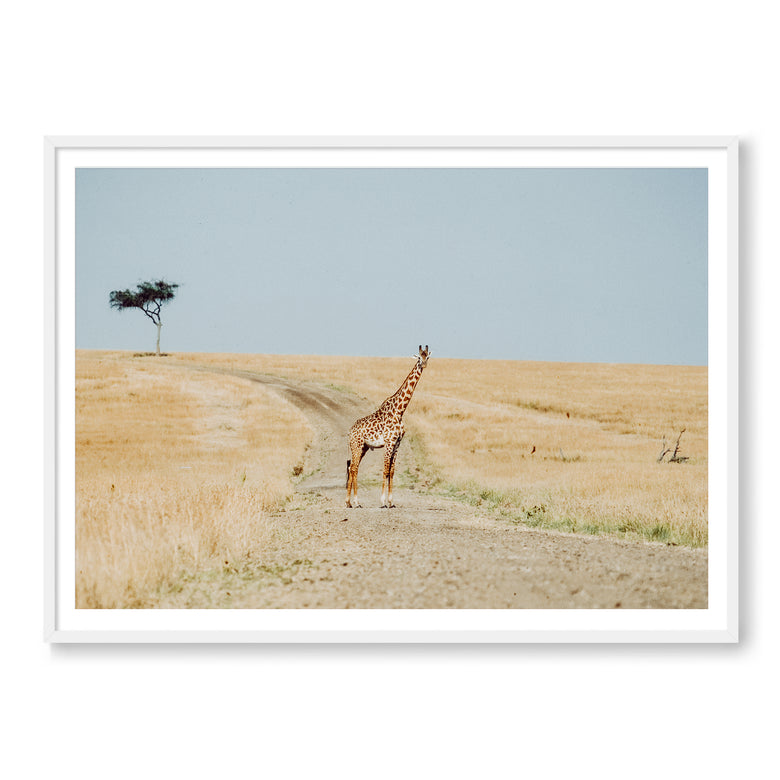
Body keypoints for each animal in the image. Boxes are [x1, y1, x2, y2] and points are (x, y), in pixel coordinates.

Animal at [346, 345, 431, 508]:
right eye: (419, 357)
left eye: (427, 357)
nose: (423, 364)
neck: (399, 411)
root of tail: (350, 430)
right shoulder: (389, 442)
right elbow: (385, 470)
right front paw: (383, 502)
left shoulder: (397, 443)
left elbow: (392, 471)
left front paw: (391, 502)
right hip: (356, 445)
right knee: (354, 468)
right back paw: (356, 502)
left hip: (363, 447)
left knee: (352, 467)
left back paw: (349, 502)